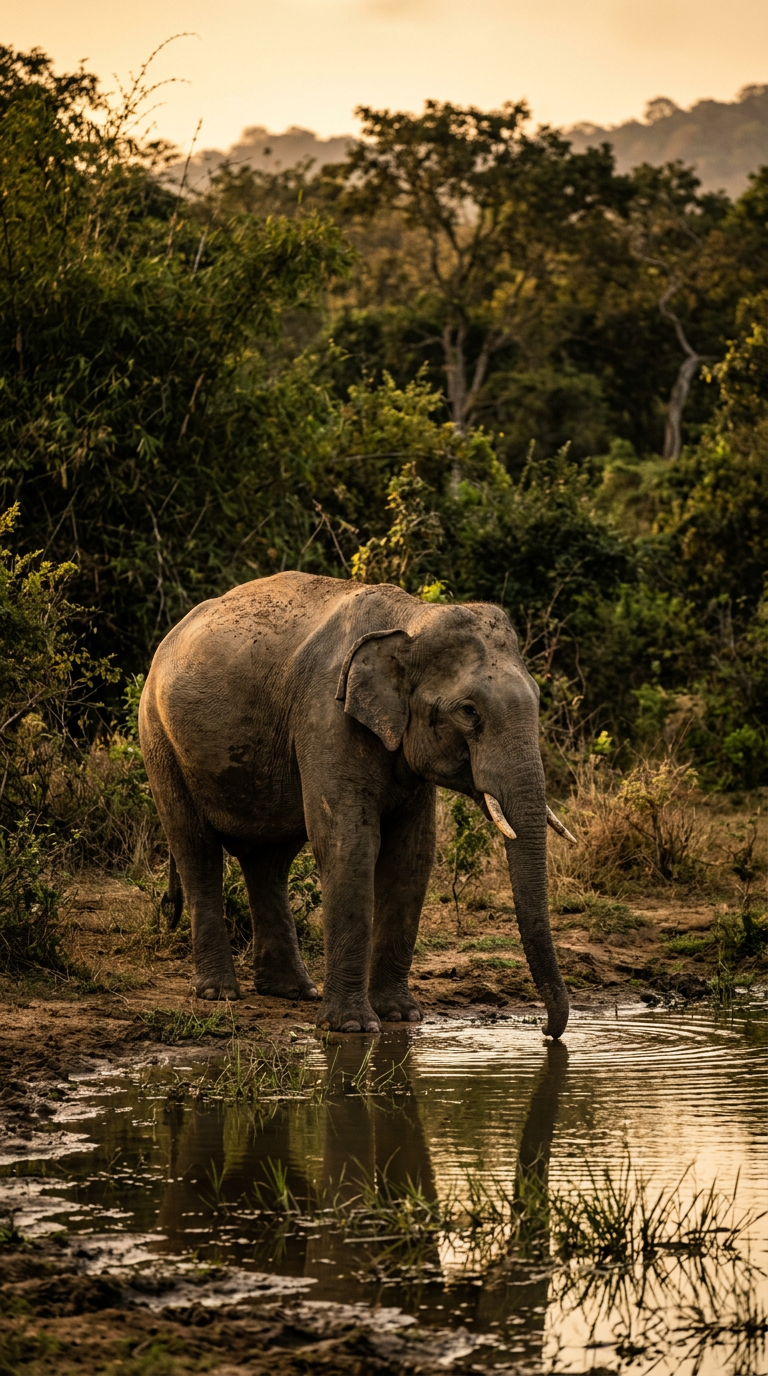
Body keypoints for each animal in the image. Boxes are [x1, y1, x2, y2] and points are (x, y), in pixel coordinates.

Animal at [138, 572, 572, 1037]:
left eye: (538, 699)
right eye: (469, 711)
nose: (545, 1031)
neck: (411, 619)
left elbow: (412, 855)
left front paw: (401, 1015)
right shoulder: (327, 716)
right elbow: (349, 845)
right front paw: (353, 1028)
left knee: (269, 860)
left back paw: (292, 992)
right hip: (159, 739)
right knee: (196, 849)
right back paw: (219, 993)